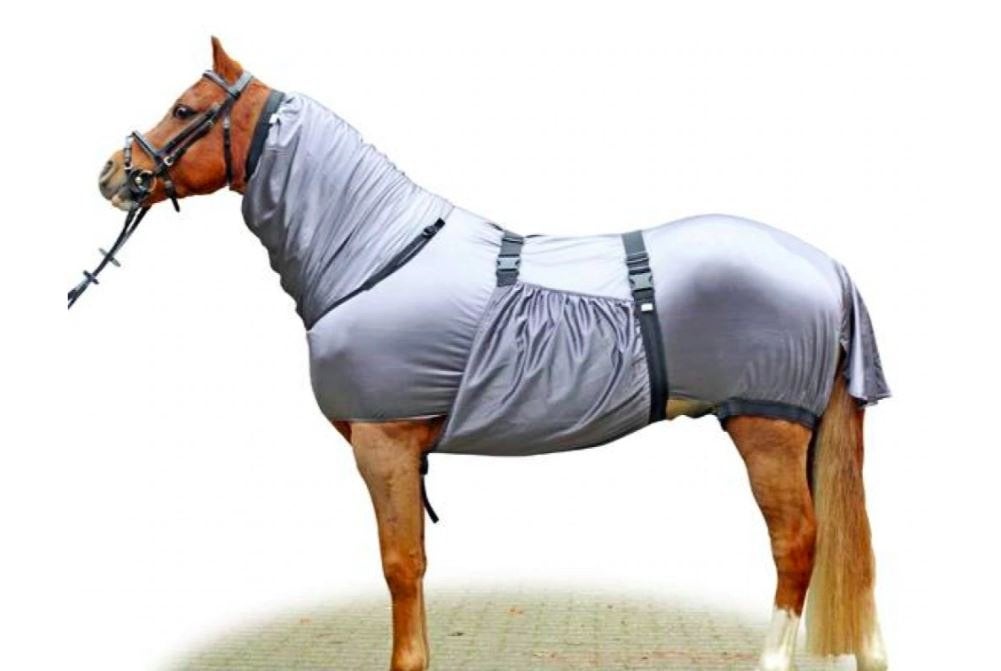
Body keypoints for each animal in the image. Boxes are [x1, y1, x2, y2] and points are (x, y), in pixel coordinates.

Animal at [91, 37, 890, 671]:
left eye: (186, 108)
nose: (111, 174)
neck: (377, 254)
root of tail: (824, 263)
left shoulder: (383, 445)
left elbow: (400, 565)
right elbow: (411, 565)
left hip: (765, 426)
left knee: (797, 543)